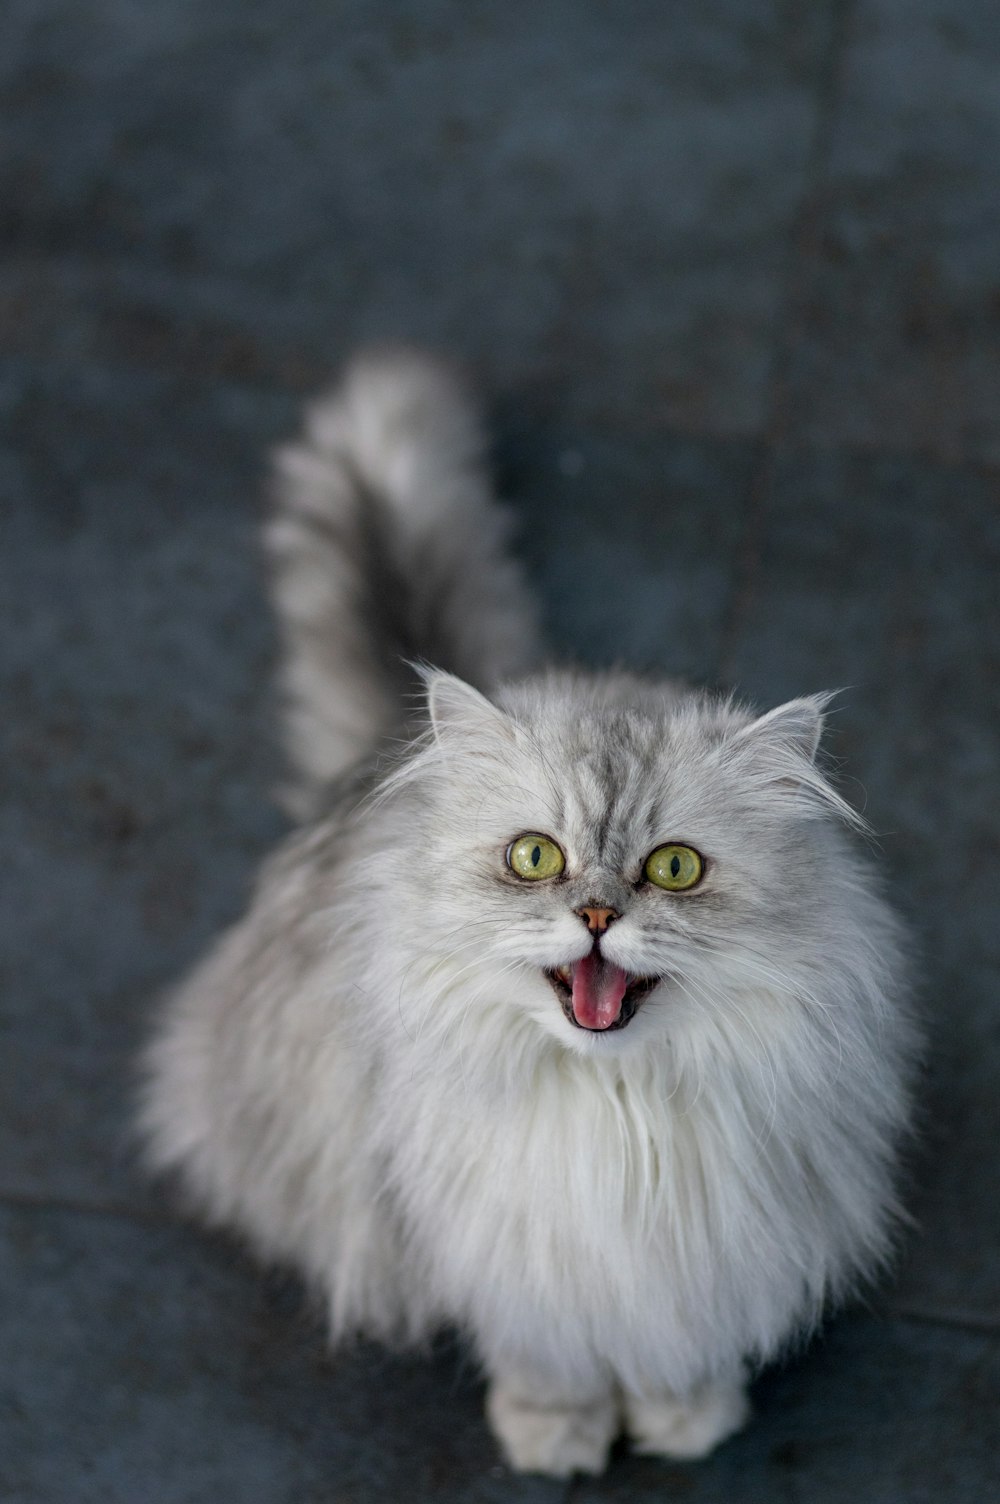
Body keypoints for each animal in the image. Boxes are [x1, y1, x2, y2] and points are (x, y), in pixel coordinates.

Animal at [142, 348, 920, 1479]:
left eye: (674, 868)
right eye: (536, 858)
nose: (595, 915)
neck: (616, 1108)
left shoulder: (702, 1244)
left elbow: (672, 1344)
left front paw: (684, 1416)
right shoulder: (503, 1241)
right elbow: (548, 1351)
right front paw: (556, 1434)